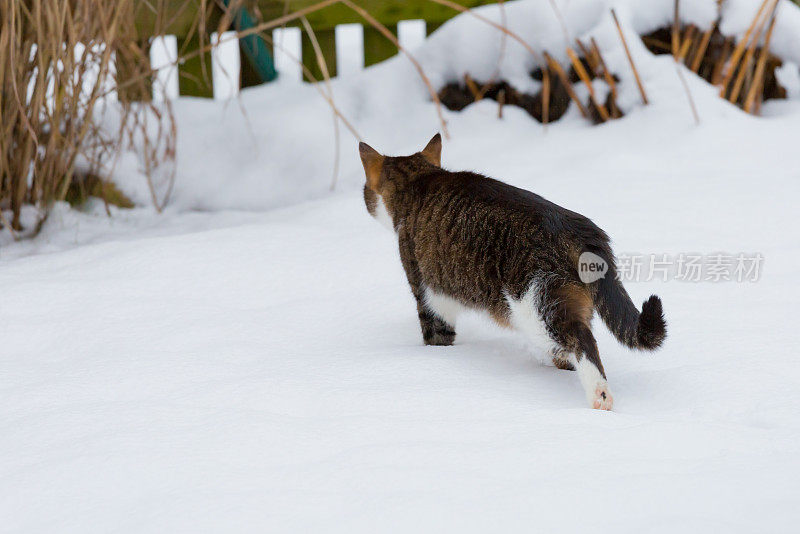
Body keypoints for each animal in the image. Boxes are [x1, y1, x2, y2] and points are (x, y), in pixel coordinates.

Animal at [360, 134, 664, 410]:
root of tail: (578, 228)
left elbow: (436, 334)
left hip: (535, 303)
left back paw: (600, 395)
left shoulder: (429, 291)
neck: (419, 182)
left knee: (581, 338)